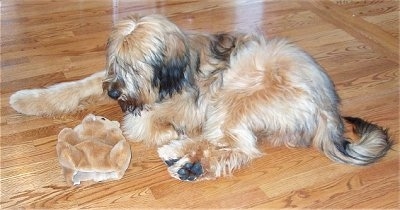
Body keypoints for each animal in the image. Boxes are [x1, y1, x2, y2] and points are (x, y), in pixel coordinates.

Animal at [10, 14, 390, 181]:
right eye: (117, 63)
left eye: (136, 67)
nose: (115, 92)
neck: (174, 74)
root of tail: (329, 109)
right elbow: (79, 86)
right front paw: (28, 99)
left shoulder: (189, 103)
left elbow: (141, 122)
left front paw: (154, 127)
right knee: (228, 145)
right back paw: (187, 162)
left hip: (237, 95)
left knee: (236, 147)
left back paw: (181, 154)